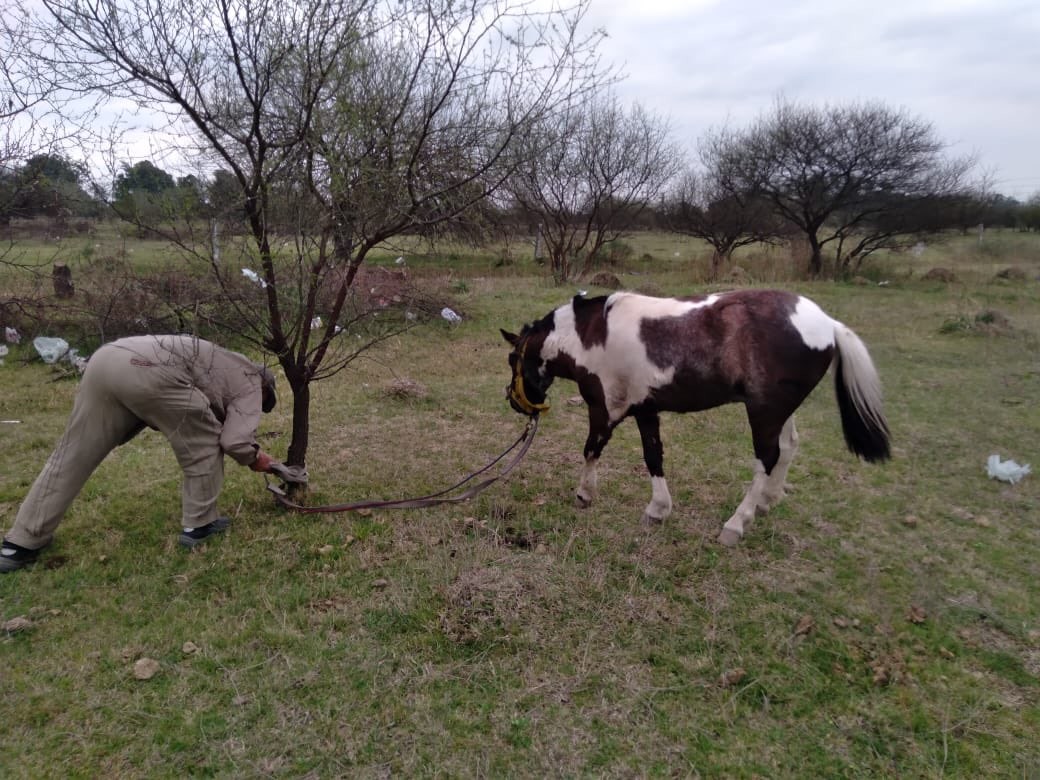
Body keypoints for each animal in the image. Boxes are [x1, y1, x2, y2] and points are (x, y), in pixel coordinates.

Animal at [501, 289, 890, 546]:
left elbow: (591, 449)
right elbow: (653, 456)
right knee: (789, 448)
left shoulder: (604, 408)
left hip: (764, 412)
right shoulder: (646, 409)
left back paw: (737, 523)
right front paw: (658, 509)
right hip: (780, 412)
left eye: (512, 360)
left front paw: (584, 494)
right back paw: (766, 501)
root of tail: (828, 324)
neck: (590, 334)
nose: (515, 402)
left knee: (768, 457)